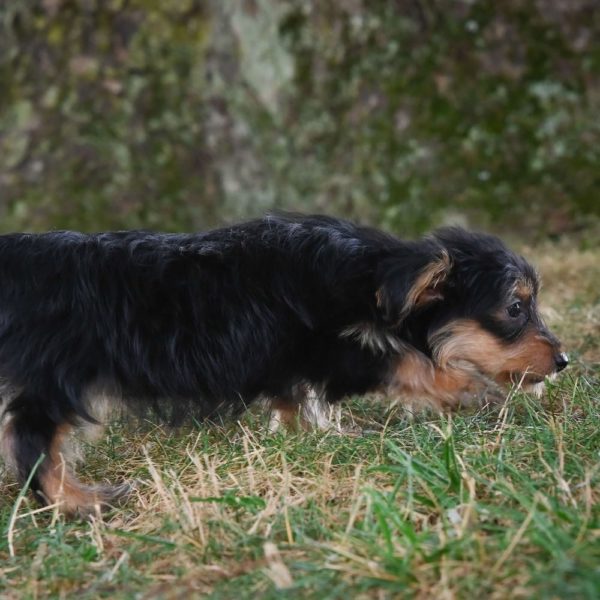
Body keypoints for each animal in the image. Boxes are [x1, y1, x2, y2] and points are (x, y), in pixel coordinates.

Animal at [0, 213, 564, 512]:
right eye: (516, 308)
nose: (563, 360)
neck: (371, 280)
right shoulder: (337, 349)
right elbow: (411, 365)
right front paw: (475, 390)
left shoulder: (294, 362)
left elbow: (296, 400)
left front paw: (312, 435)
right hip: (58, 377)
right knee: (31, 437)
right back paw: (78, 501)